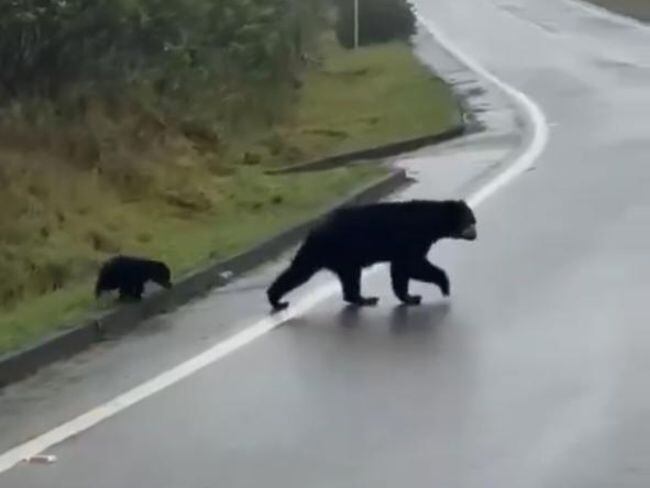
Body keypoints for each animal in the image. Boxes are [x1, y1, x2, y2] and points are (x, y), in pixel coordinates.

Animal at [266, 199, 477, 311]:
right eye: (470, 220)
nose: (475, 234)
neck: (431, 221)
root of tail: (313, 229)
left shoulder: (407, 245)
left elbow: (400, 271)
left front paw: (410, 297)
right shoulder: (411, 237)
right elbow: (413, 264)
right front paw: (443, 285)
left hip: (342, 257)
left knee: (346, 278)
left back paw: (363, 298)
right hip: (334, 249)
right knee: (301, 271)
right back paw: (277, 300)